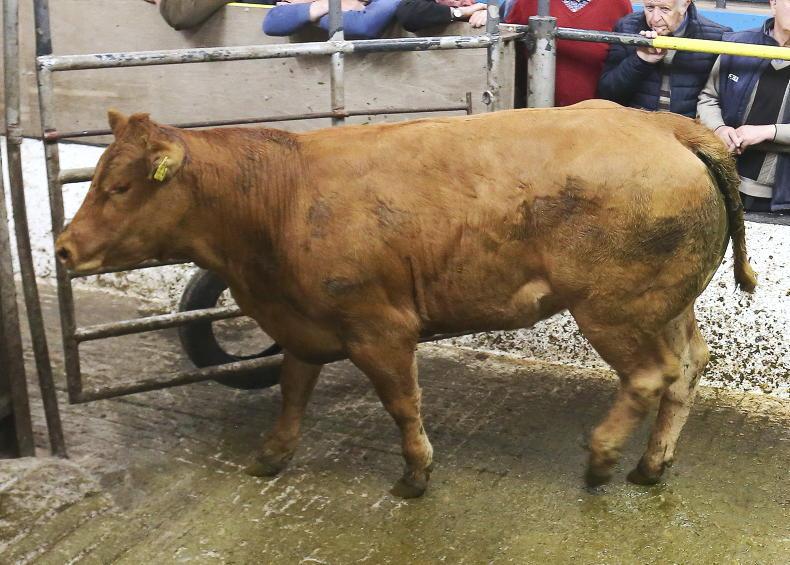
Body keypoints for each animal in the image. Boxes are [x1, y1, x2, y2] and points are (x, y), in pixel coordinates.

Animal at [56, 101, 756, 498]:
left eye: (120, 186)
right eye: (96, 178)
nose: (62, 248)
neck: (282, 196)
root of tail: (666, 128)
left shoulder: (378, 326)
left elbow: (400, 402)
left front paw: (416, 474)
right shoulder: (304, 321)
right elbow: (292, 390)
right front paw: (271, 456)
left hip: (614, 308)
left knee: (650, 375)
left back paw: (603, 460)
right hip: (666, 302)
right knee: (688, 366)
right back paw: (652, 464)